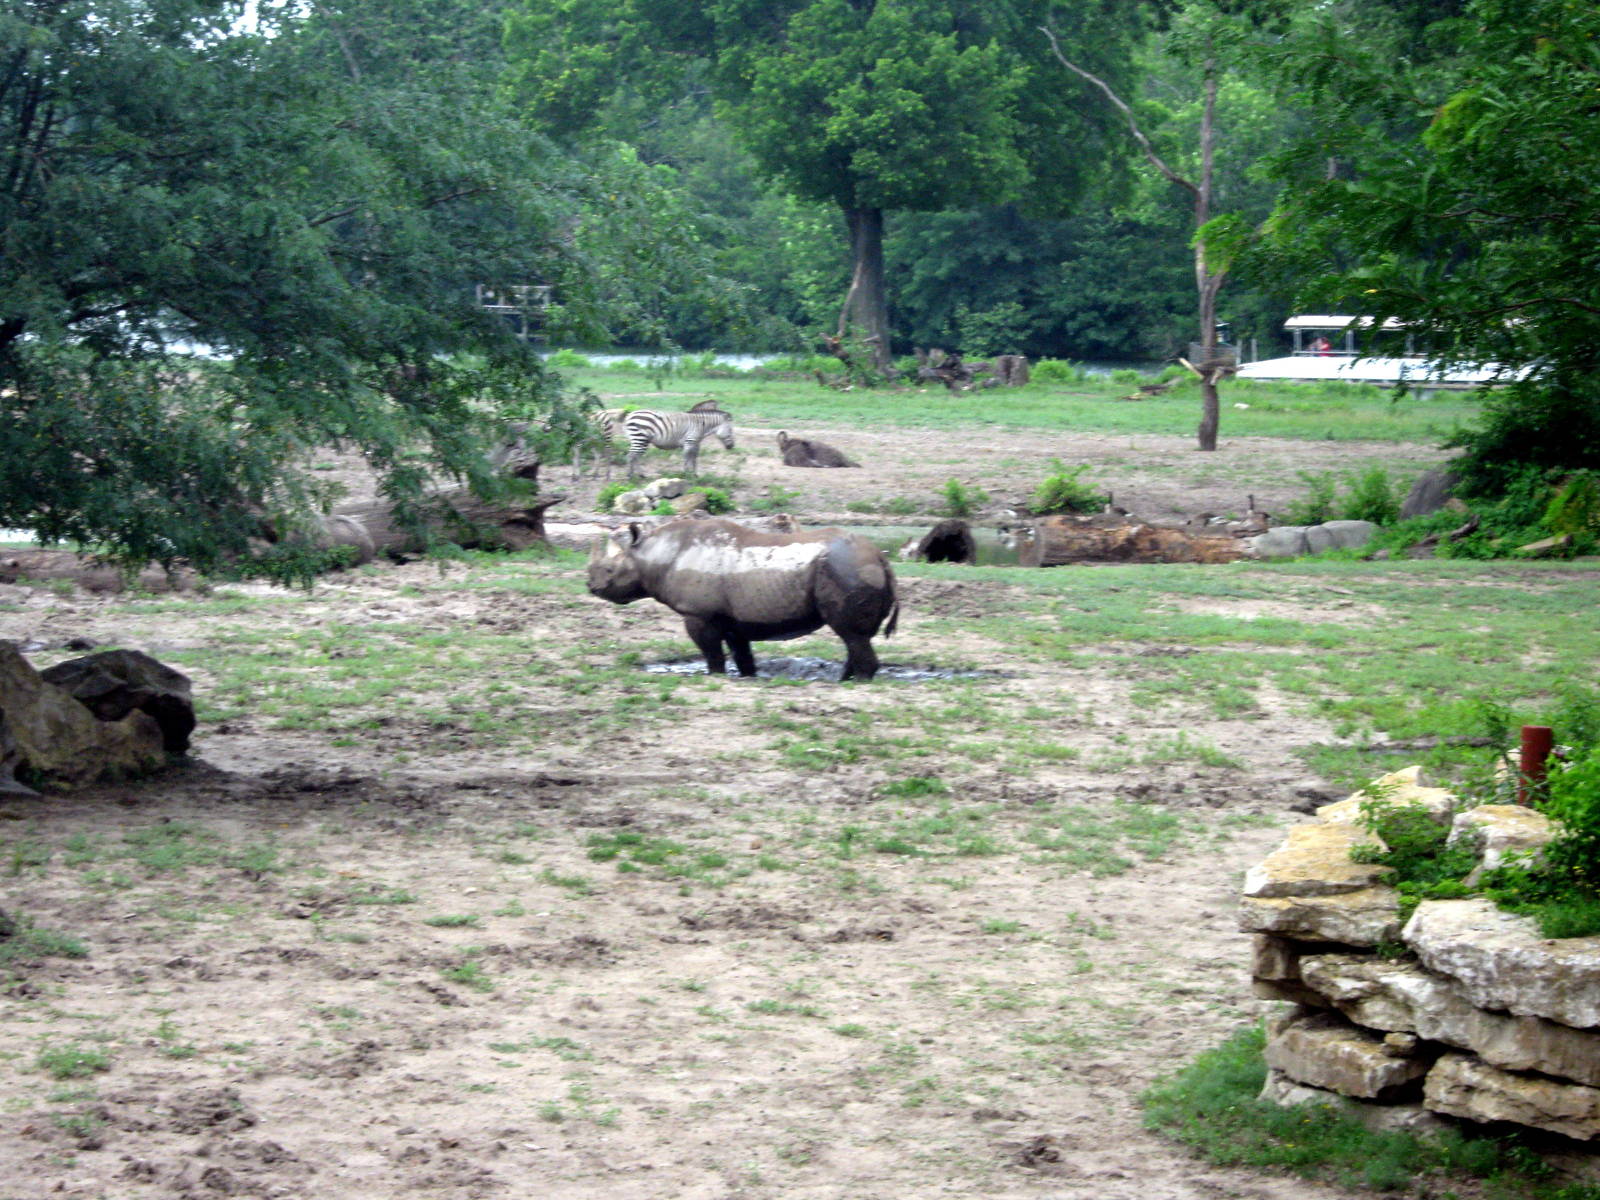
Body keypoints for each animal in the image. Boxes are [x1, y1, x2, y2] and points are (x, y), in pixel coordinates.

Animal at [588, 518, 900, 680]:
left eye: (609, 570)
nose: (591, 586)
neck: (654, 554)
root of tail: (881, 560)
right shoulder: (732, 619)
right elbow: (742, 655)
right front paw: (748, 677)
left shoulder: (699, 614)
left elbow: (712, 654)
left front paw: (714, 677)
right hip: (855, 567)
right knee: (854, 637)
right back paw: (844, 679)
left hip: (848, 569)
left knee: (851, 635)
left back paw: (857, 682)